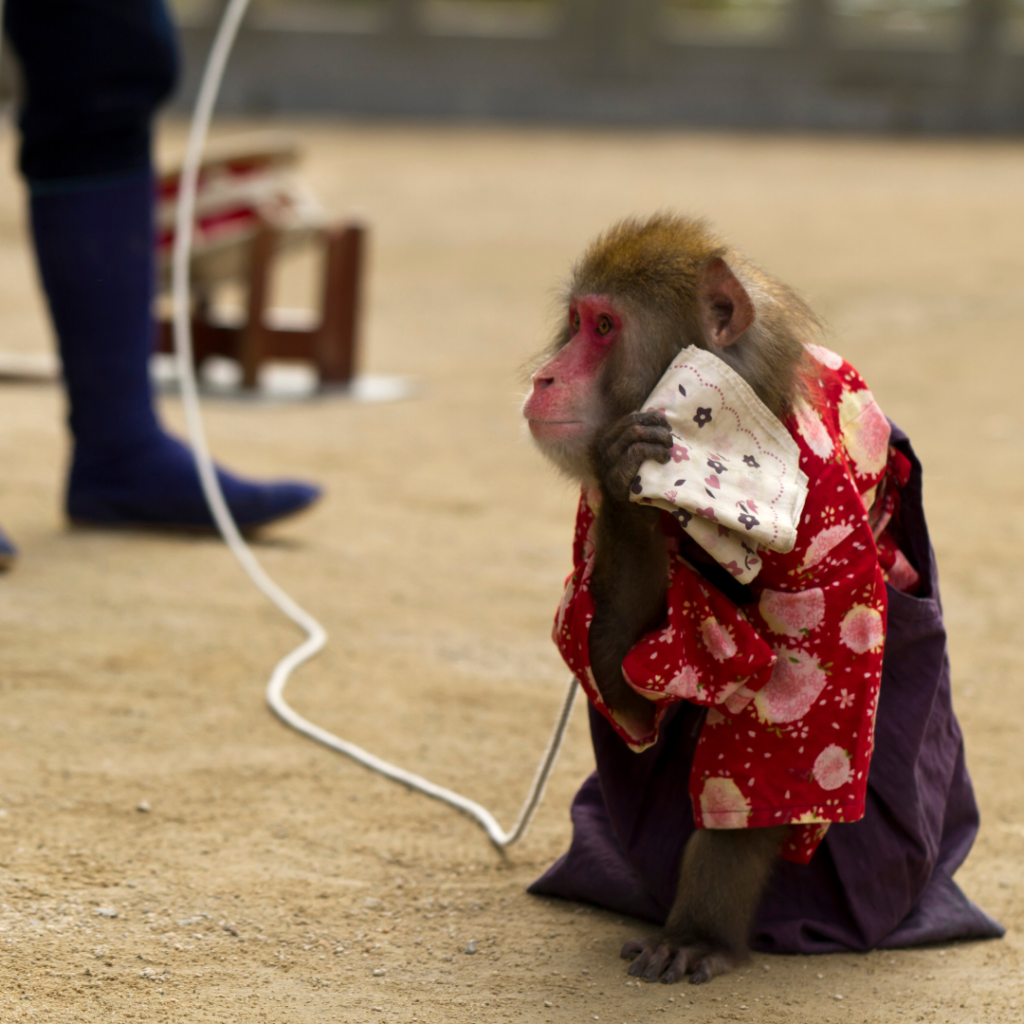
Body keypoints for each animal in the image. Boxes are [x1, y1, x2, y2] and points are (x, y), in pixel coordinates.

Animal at [524, 214, 909, 983]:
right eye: (576, 322)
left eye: (604, 326)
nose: (546, 376)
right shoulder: (593, 515)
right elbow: (630, 691)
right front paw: (627, 484)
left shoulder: (829, 525)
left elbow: (789, 721)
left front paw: (699, 929)